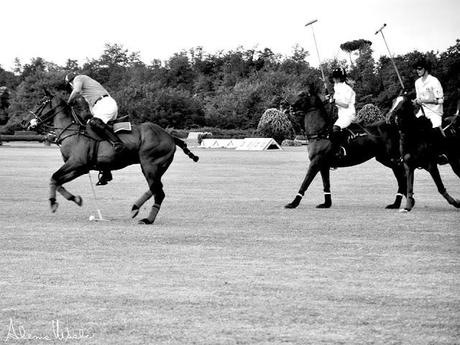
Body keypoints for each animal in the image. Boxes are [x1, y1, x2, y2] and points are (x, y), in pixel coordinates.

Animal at [27, 91, 199, 224]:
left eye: (40, 103)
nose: (25, 122)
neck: (72, 132)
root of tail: (170, 137)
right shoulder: (80, 168)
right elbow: (57, 180)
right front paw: (75, 199)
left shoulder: (78, 164)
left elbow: (55, 177)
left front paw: (53, 203)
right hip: (156, 167)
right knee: (155, 188)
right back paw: (135, 208)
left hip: (150, 165)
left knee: (159, 192)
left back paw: (147, 220)